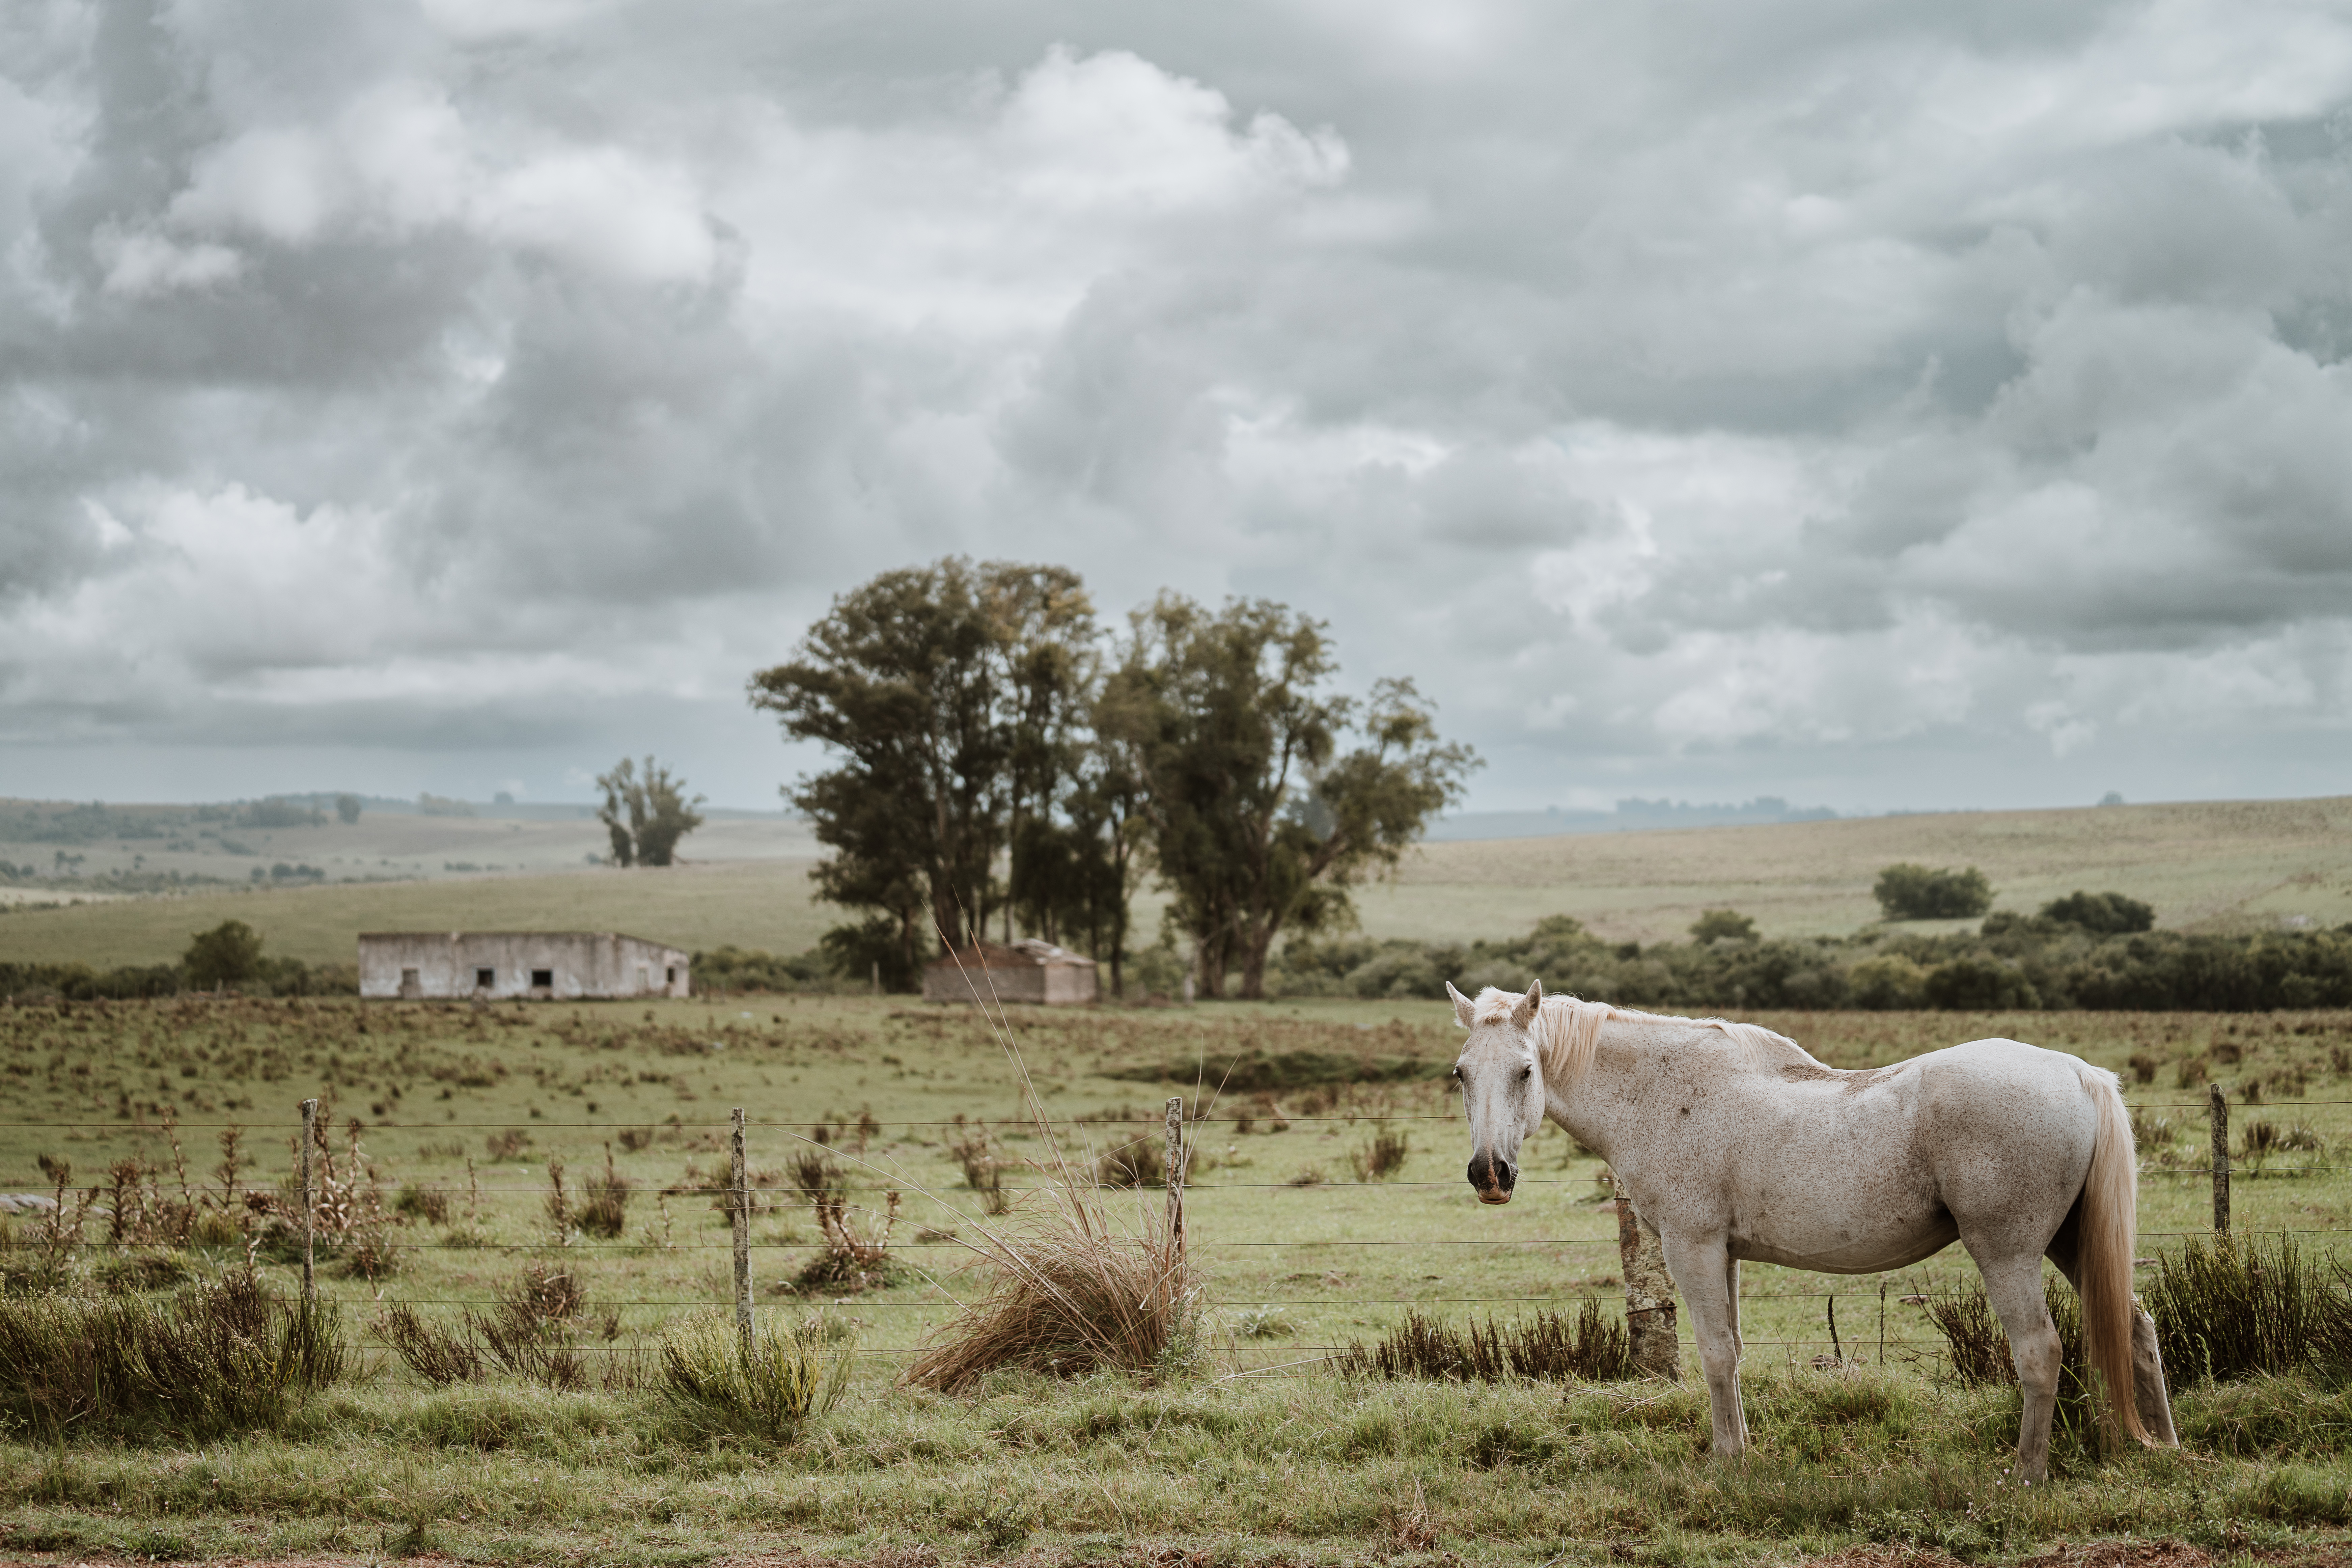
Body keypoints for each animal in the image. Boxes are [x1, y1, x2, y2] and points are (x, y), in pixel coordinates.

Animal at [1447, 979, 2177, 1481]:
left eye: (1526, 1071)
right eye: (1460, 1073)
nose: (1489, 1173)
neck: (1662, 1092)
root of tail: (2075, 1072)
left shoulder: (1691, 1246)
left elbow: (1715, 1353)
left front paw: (1726, 1459)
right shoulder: (1724, 1253)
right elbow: (1733, 1351)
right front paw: (1741, 1448)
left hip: (2008, 1252)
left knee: (2038, 1351)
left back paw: (2025, 1472)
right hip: (2068, 1244)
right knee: (2136, 1325)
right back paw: (2162, 1445)